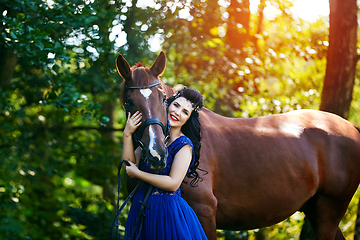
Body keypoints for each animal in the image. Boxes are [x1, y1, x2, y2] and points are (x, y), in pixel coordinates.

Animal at [116, 51, 360, 239]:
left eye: (163, 99)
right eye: (129, 102)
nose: (157, 154)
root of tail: (351, 127)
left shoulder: (205, 212)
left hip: (329, 211)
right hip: (315, 210)